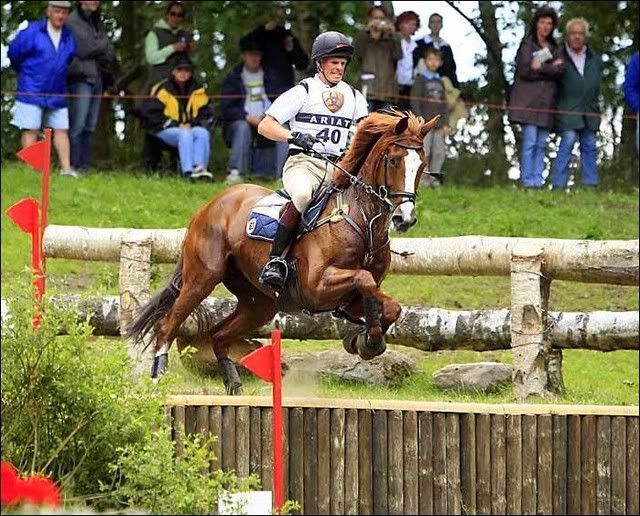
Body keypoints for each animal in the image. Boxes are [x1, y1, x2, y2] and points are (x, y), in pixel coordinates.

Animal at [127, 108, 442, 392]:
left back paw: (234, 385)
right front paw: (367, 339)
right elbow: (364, 280)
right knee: (167, 325)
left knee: (218, 335)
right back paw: (157, 377)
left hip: (259, 304)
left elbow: (388, 304)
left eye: (422, 166)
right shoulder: (316, 287)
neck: (364, 221)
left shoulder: (346, 294)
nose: (405, 219)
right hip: (201, 279)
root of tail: (209, 206)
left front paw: (365, 340)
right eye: (394, 160)